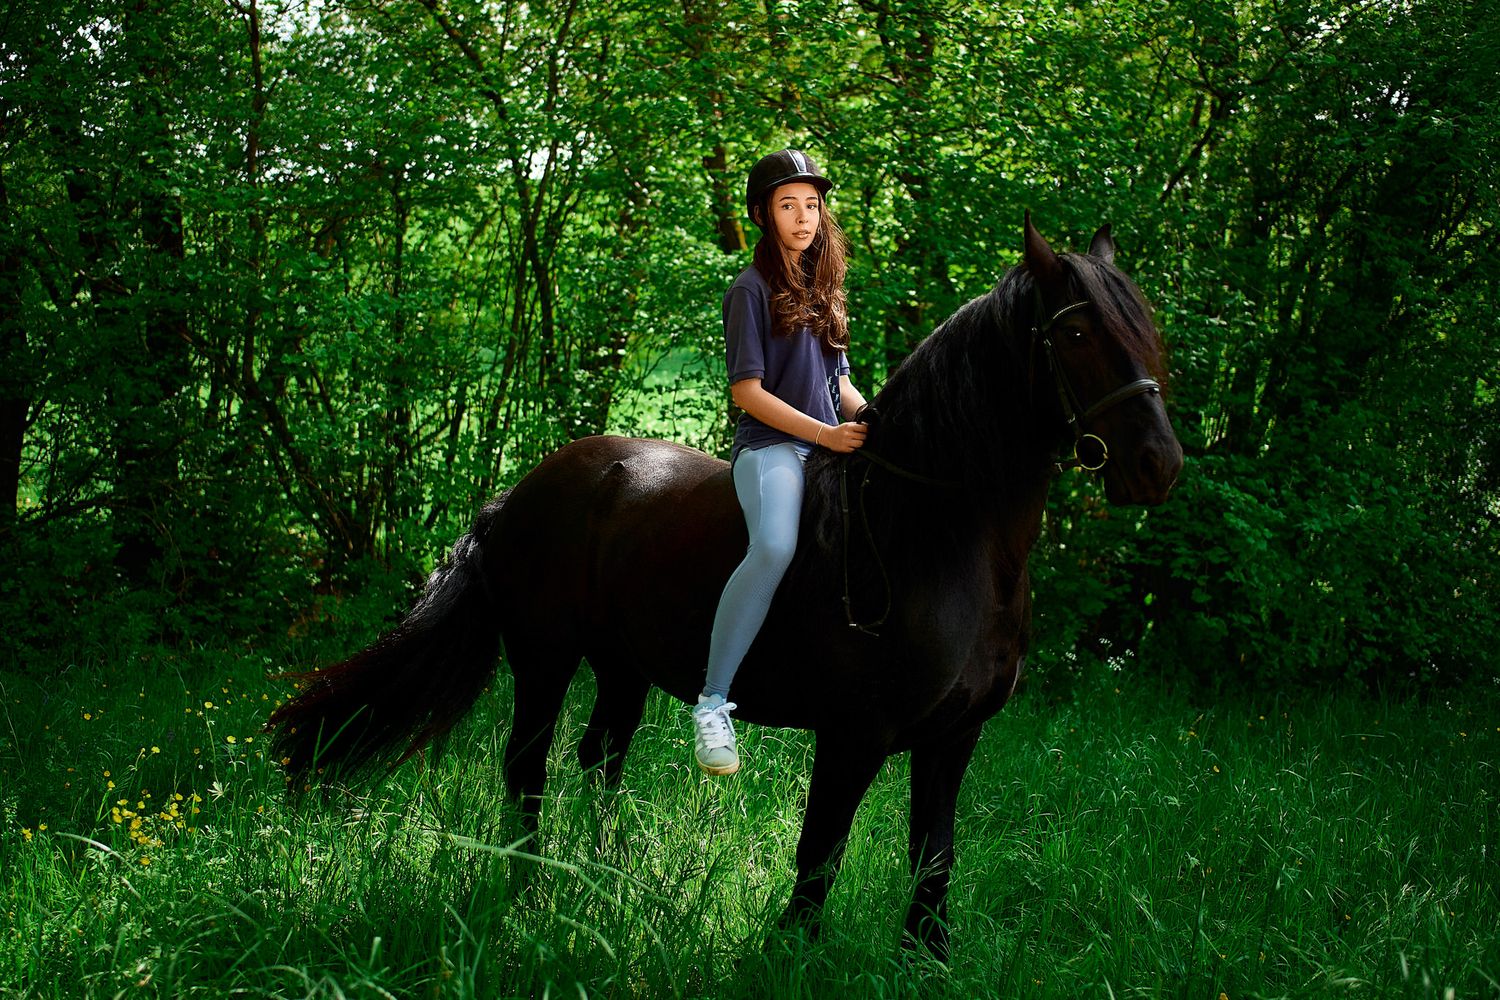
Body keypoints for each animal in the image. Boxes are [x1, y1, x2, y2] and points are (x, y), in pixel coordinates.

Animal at [267, 215, 1184, 961]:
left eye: (1144, 326)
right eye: (1076, 331)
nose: (1159, 466)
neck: (932, 532)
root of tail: (521, 492)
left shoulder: (953, 737)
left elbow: (934, 853)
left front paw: (926, 961)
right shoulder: (853, 735)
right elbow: (821, 851)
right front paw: (787, 955)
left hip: (623, 667)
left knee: (600, 756)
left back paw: (604, 879)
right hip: (544, 657)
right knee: (527, 765)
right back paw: (528, 890)